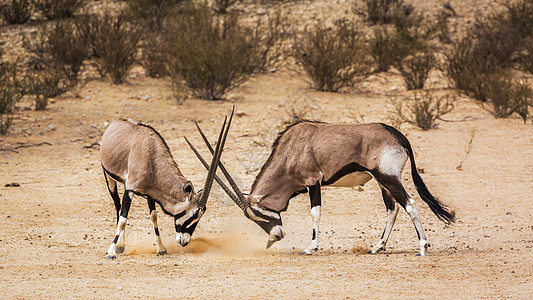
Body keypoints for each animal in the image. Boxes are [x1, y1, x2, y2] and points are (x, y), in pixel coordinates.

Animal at [101, 111, 232, 258]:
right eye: (194, 215)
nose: (185, 241)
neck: (152, 159)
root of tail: (115, 122)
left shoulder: (150, 193)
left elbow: (154, 217)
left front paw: (161, 248)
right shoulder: (130, 189)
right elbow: (123, 219)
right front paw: (111, 251)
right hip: (109, 177)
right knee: (118, 207)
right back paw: (120, 246)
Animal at [187, 119, 454, 255]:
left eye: (258, 216)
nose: (277, 235)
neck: (291, 151)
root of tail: (400, 137)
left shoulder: (313, 182)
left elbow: (315, 213)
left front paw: (311, 247)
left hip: (387, 177)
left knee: (409, 204)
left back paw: (423, 246)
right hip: (382, 181)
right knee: (394, 208)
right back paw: (378, 246)